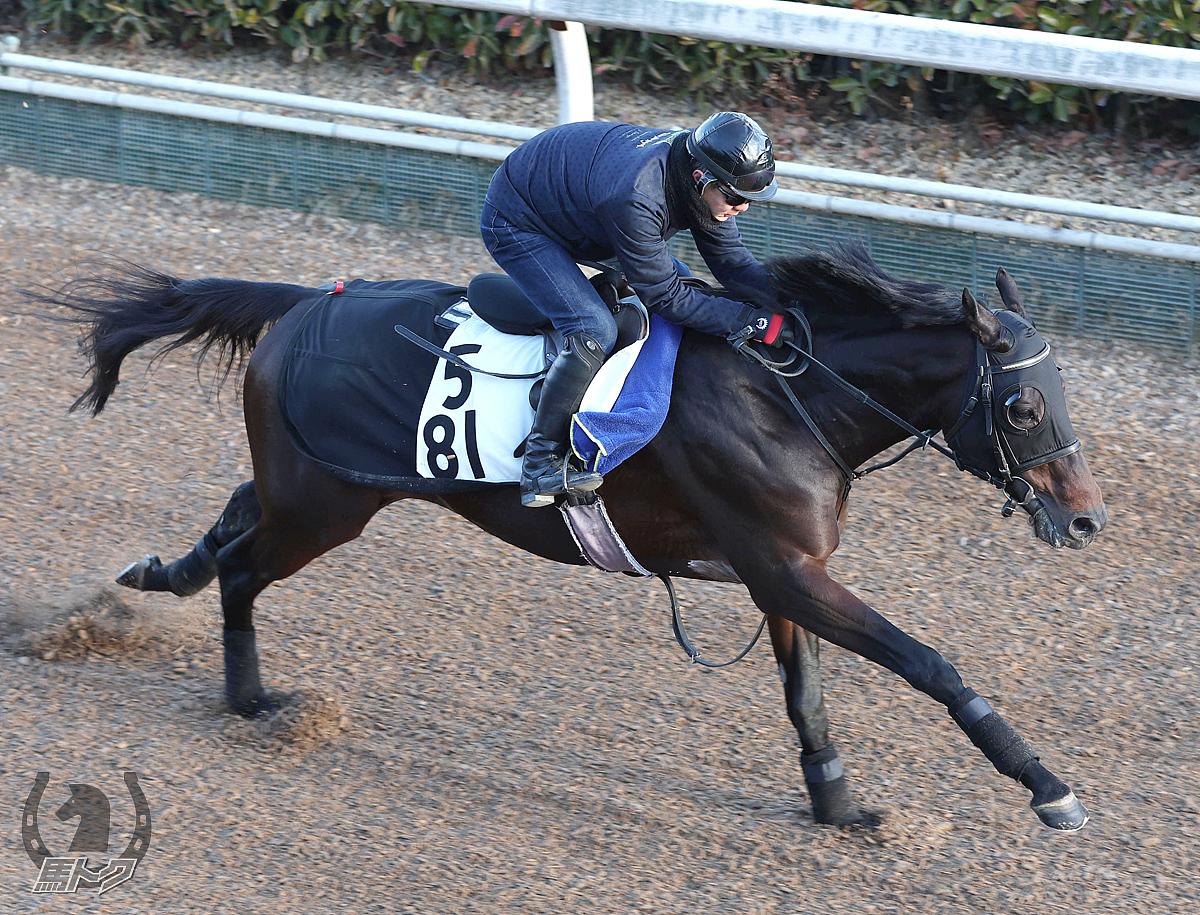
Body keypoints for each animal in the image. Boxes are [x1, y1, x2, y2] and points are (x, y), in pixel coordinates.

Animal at [35, 240, 1104, 826]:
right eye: (1021, 408)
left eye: (1064, 393)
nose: (1087, 517)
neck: (787, 392)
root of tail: (304, 301)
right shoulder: (785, 567)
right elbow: (929, 663)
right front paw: (1046, 786)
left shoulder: (783, 571)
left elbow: (806, 694)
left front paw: (837, 804)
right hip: (326, 508)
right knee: (245, 569)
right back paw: (253, 697)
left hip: (309, 486)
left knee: (230, 522)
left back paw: (155, 578)